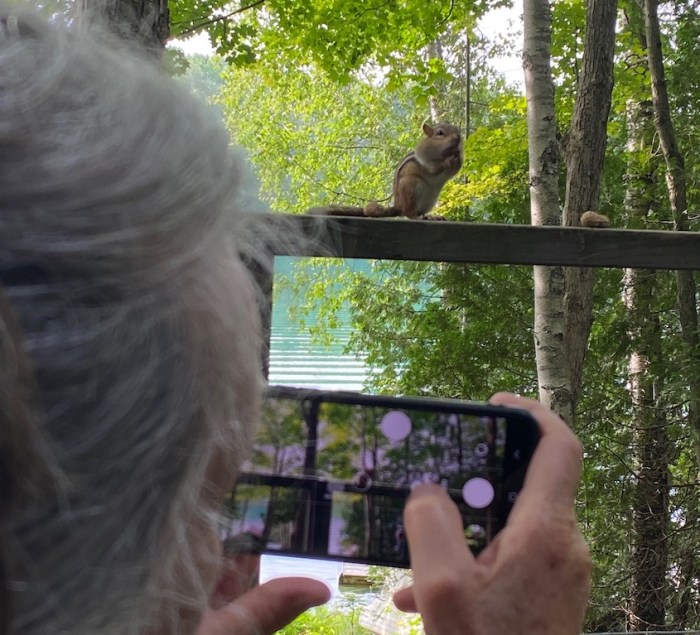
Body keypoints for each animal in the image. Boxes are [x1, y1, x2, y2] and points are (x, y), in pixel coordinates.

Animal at [308, 122, 463, 220]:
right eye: (440, 133)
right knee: (408, 213)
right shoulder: (425, 160)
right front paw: (448, 161)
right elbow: (433, 169)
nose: (458, 138)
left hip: (429, 200)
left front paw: (458, 157)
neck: (442, 153)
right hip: (411, 185)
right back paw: (415, 216)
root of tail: (398, 205)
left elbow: (455, 169)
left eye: (457, 130)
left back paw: (431, 216)